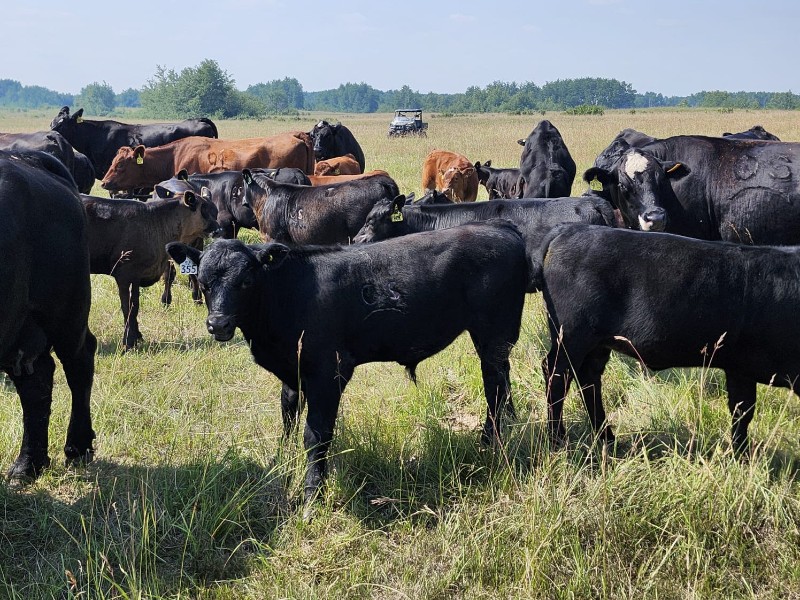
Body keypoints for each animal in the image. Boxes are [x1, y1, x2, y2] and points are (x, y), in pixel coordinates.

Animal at [0, 150, 97, 481]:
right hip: (19, 326)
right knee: (36, 383)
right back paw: (28, 464)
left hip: (68, 314)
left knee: (80, 363)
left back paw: (78, 446)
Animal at [82, 192, 220, 350]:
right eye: (203, 211)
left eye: (215, 211)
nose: (219, 230)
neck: (156, 222)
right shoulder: (124, 274)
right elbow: (127, 307)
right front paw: (128, 341)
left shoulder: (136, 276)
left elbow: (135, 305)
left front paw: (137, 336)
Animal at [166, 219, 528, 507]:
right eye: (204, 282)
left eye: (246, 281)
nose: (218, 324)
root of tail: (500, 228)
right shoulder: (292, 373)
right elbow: (287, 417)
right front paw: (282, 461)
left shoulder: (330, 371)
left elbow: (316, 435)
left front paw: (312, 496)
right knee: (502, 385)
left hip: (494, 336)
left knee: (495, 389)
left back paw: (488, 446)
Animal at [538, 223, 800, 455]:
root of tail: (568, 230)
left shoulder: (739, 368)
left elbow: (742, 411)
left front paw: (741, 457)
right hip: (572, 335)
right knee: (557, 374)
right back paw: (558, 441)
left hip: (598, 342)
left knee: (588, 378)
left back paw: (607, 439)